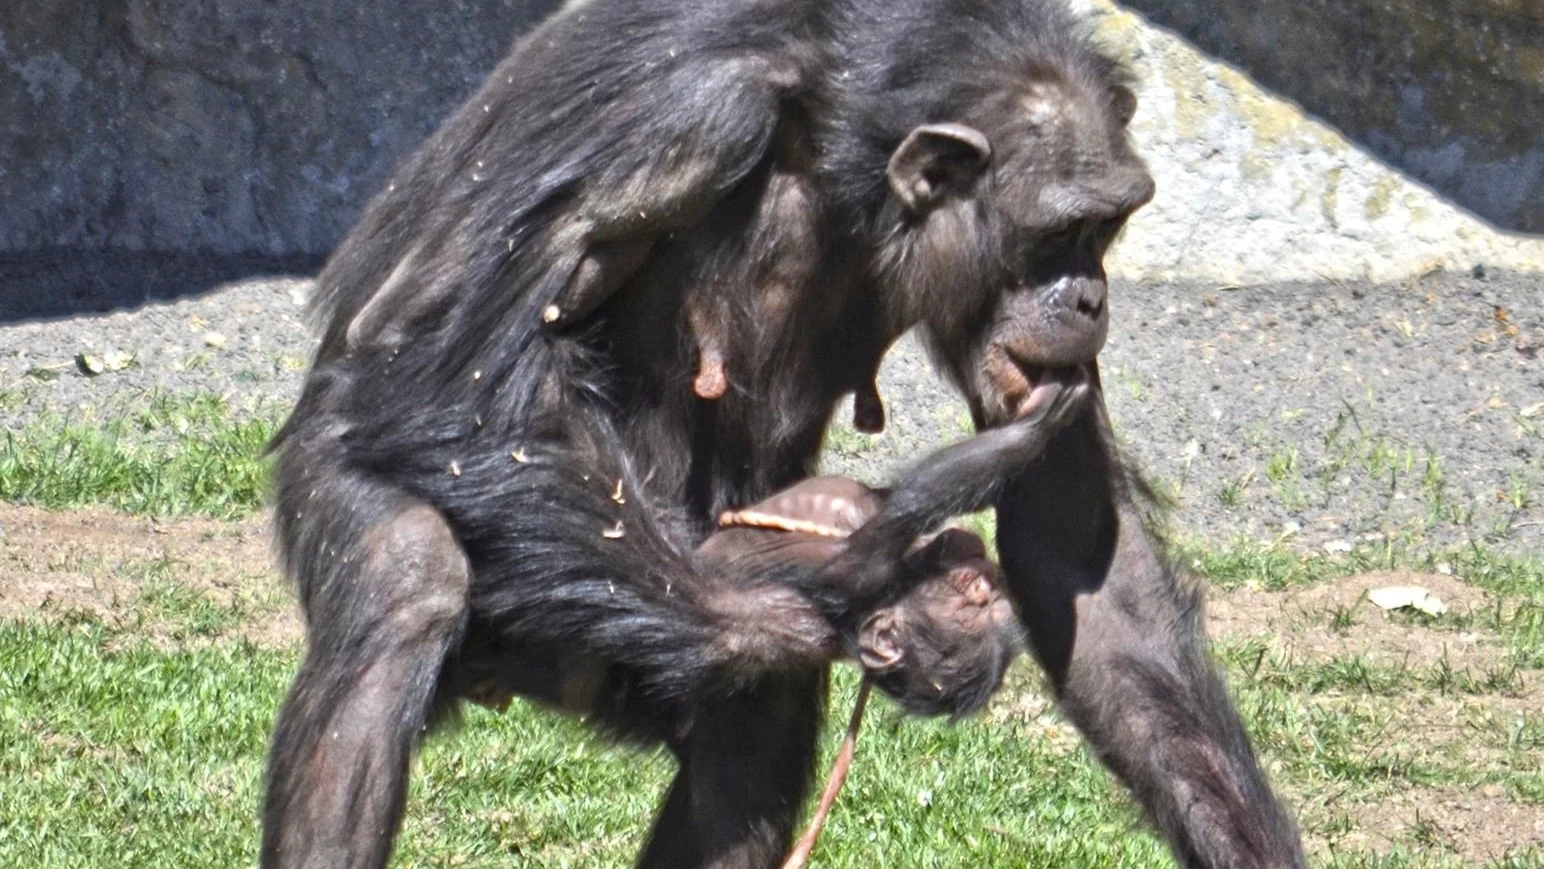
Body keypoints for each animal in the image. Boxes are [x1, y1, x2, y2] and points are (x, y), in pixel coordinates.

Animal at [262, 1, 1303, 869]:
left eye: (1111, 225)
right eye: (1059, 231)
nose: (1088, 296)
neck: (851, 133)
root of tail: (507, 681)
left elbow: (1077, 550)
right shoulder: (685, 118)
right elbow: (435, 363)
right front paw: (803, 600)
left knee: (749, 741)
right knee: (408, 580)